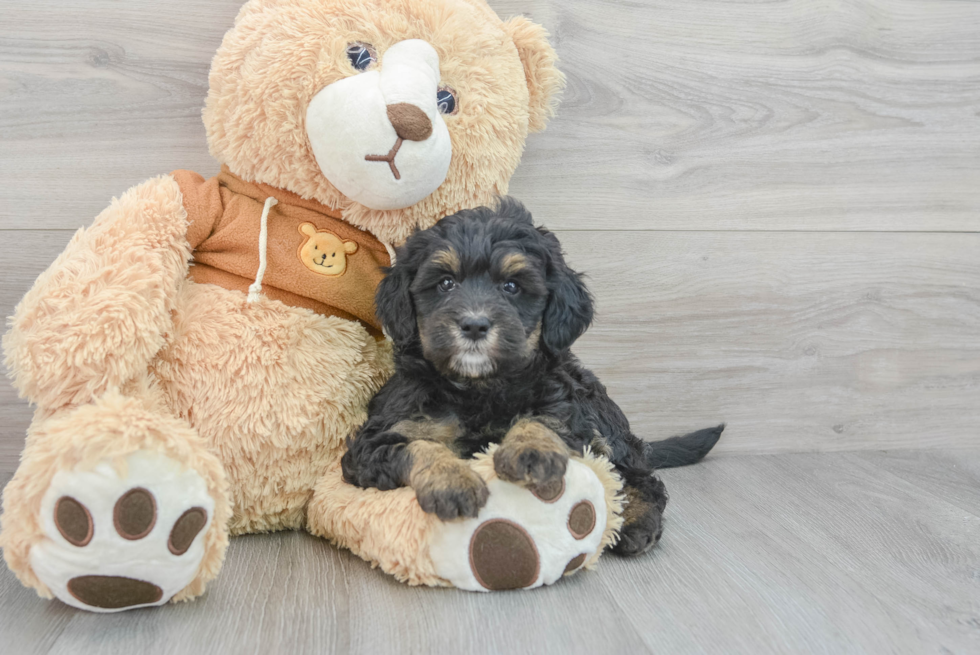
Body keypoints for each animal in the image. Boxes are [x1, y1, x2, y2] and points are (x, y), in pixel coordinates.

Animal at [342, 199, 720, 552]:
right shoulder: (377, 438)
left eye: (512, 286)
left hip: (599, 413)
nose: (474, 324)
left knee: (637, 475)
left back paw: (638, 521)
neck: (477, 389)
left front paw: (529, 450)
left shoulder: (565, 407)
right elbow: (417, 446)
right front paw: (452, 481)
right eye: (445, 283)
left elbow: (544, 419)